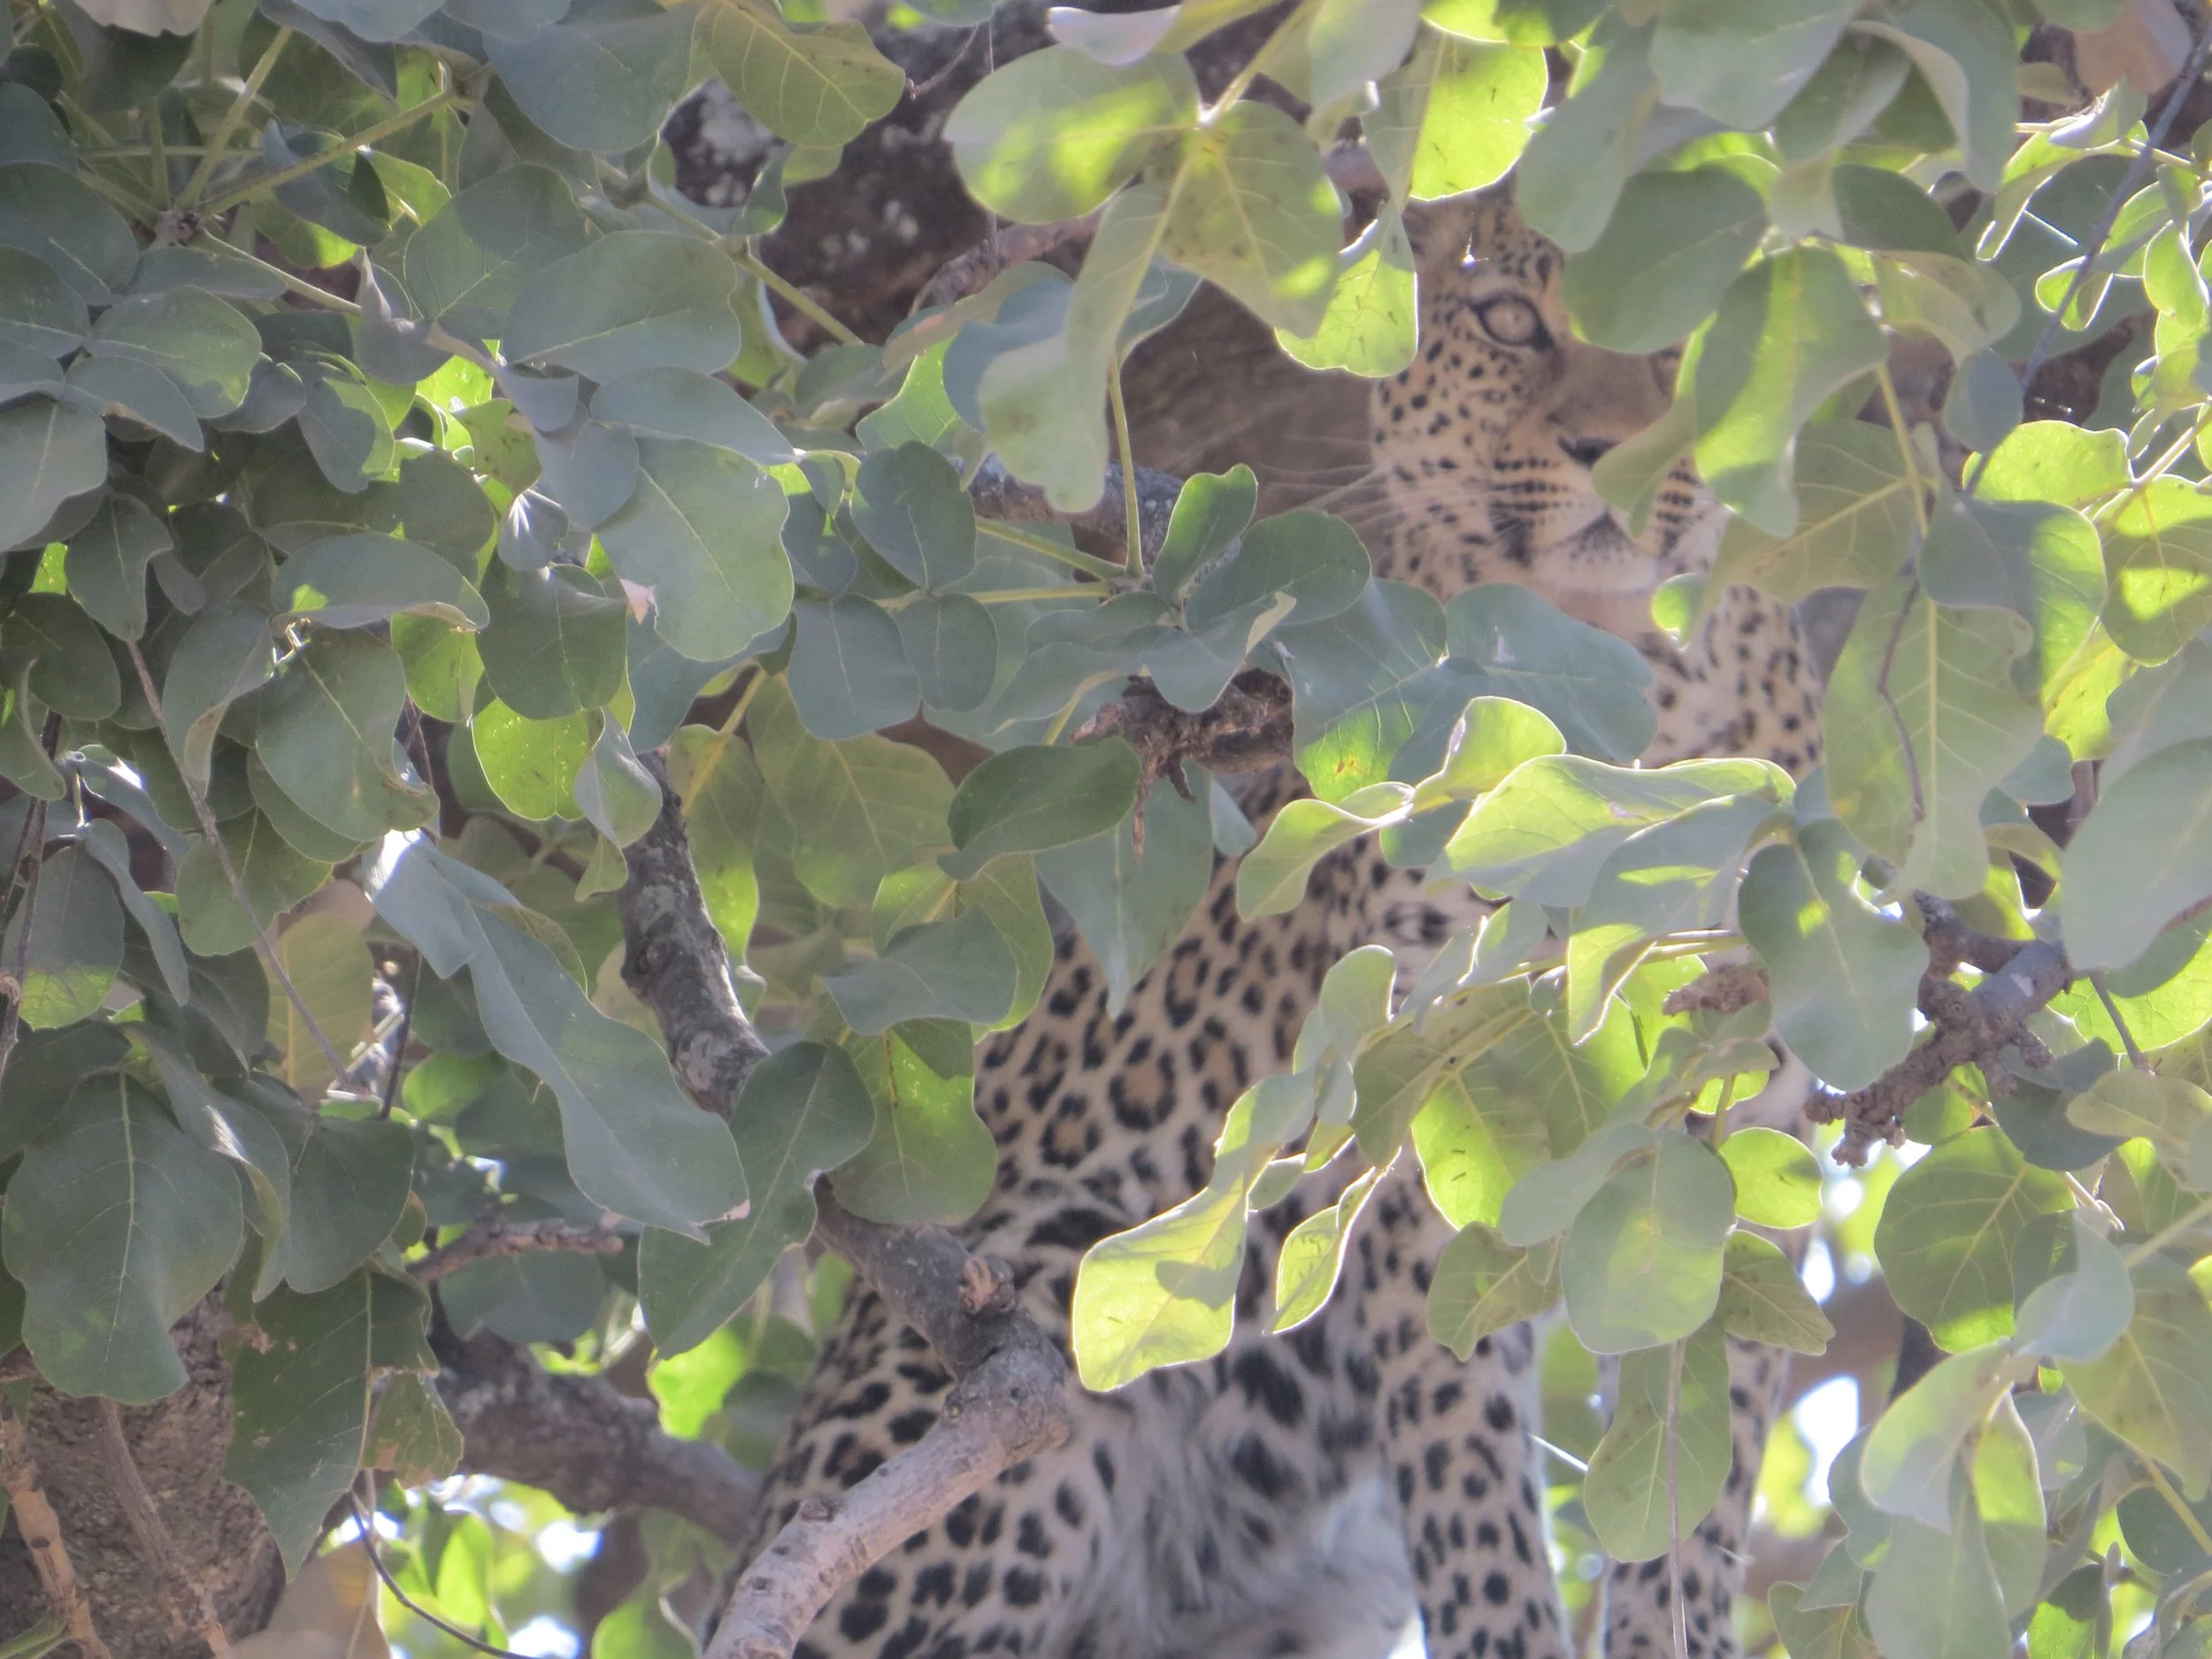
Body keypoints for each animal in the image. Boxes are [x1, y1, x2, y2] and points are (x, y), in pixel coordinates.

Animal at [726, 185, 1828, 1659]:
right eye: (1510, 318)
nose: (1609, 447)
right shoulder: (1436, 1123)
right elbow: (1473, 1485)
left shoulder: (1736, 1124)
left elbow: (1690, 1476)